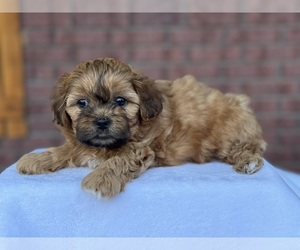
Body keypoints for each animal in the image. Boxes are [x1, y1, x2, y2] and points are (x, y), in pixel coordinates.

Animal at [17, 57, 268, 198]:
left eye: (120, 101)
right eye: (82, 103)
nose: (101, 121)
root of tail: (239, 102)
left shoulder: (140, 150)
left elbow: (118, 161)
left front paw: (100, 180)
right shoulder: (81, 142)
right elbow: (66, 149)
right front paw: (36, 159)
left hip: (229, 132)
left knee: (250, 146)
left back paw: (249, 161)